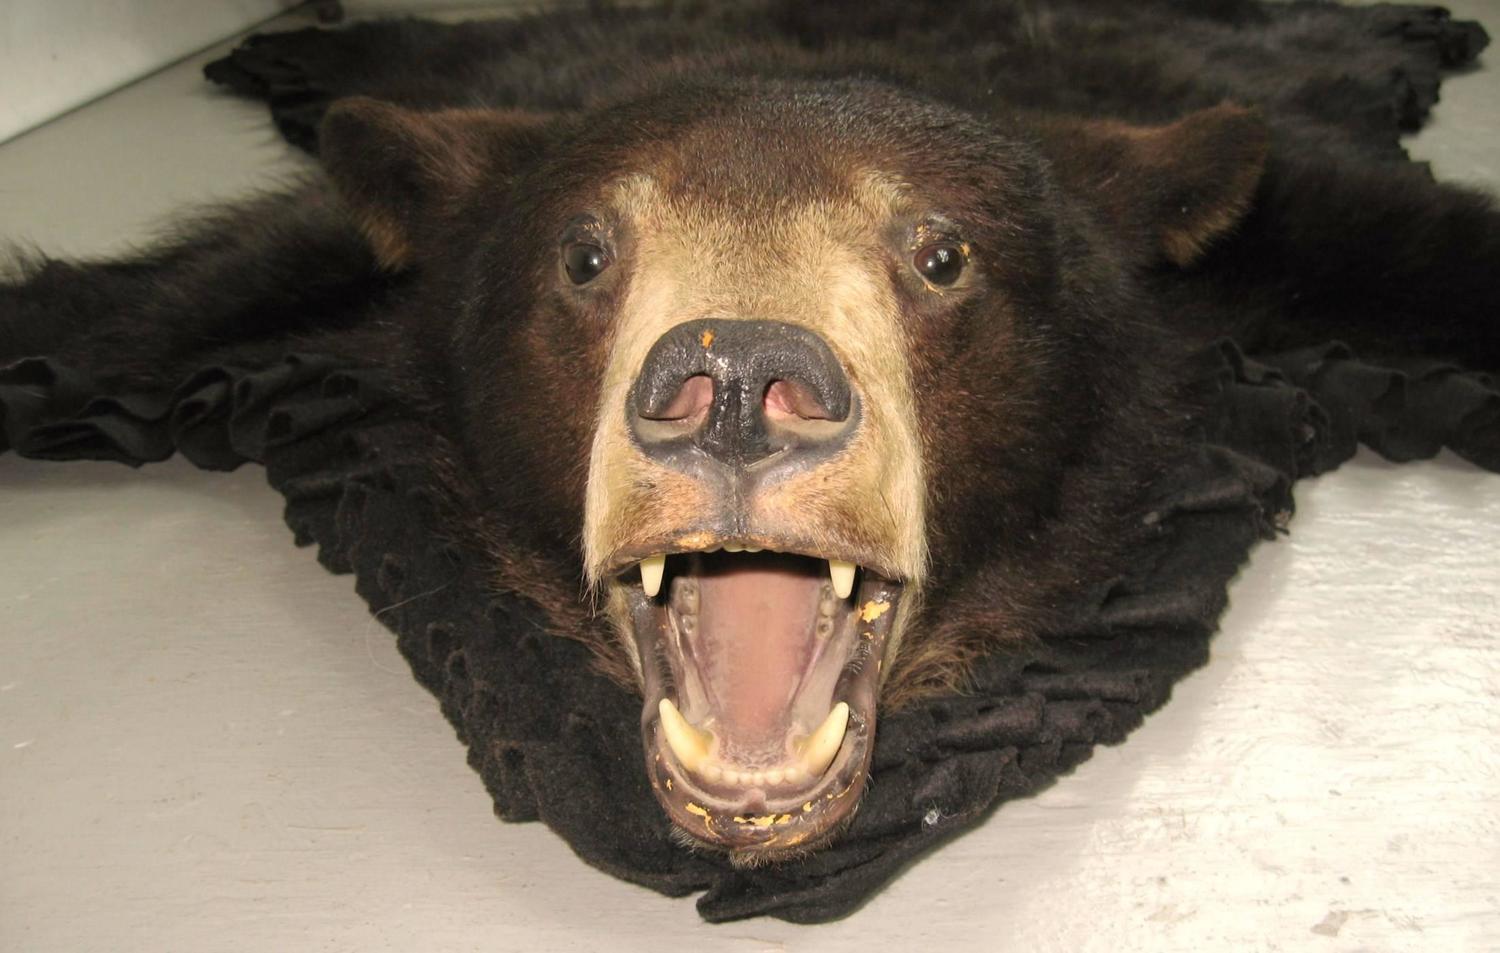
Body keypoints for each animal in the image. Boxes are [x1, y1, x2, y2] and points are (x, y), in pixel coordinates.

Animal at [3, 0, 1497, 883]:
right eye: (587, 251)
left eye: (939, 253)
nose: (733, 380)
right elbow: (196, 286)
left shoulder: (1256, 201)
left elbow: (1407, 240)